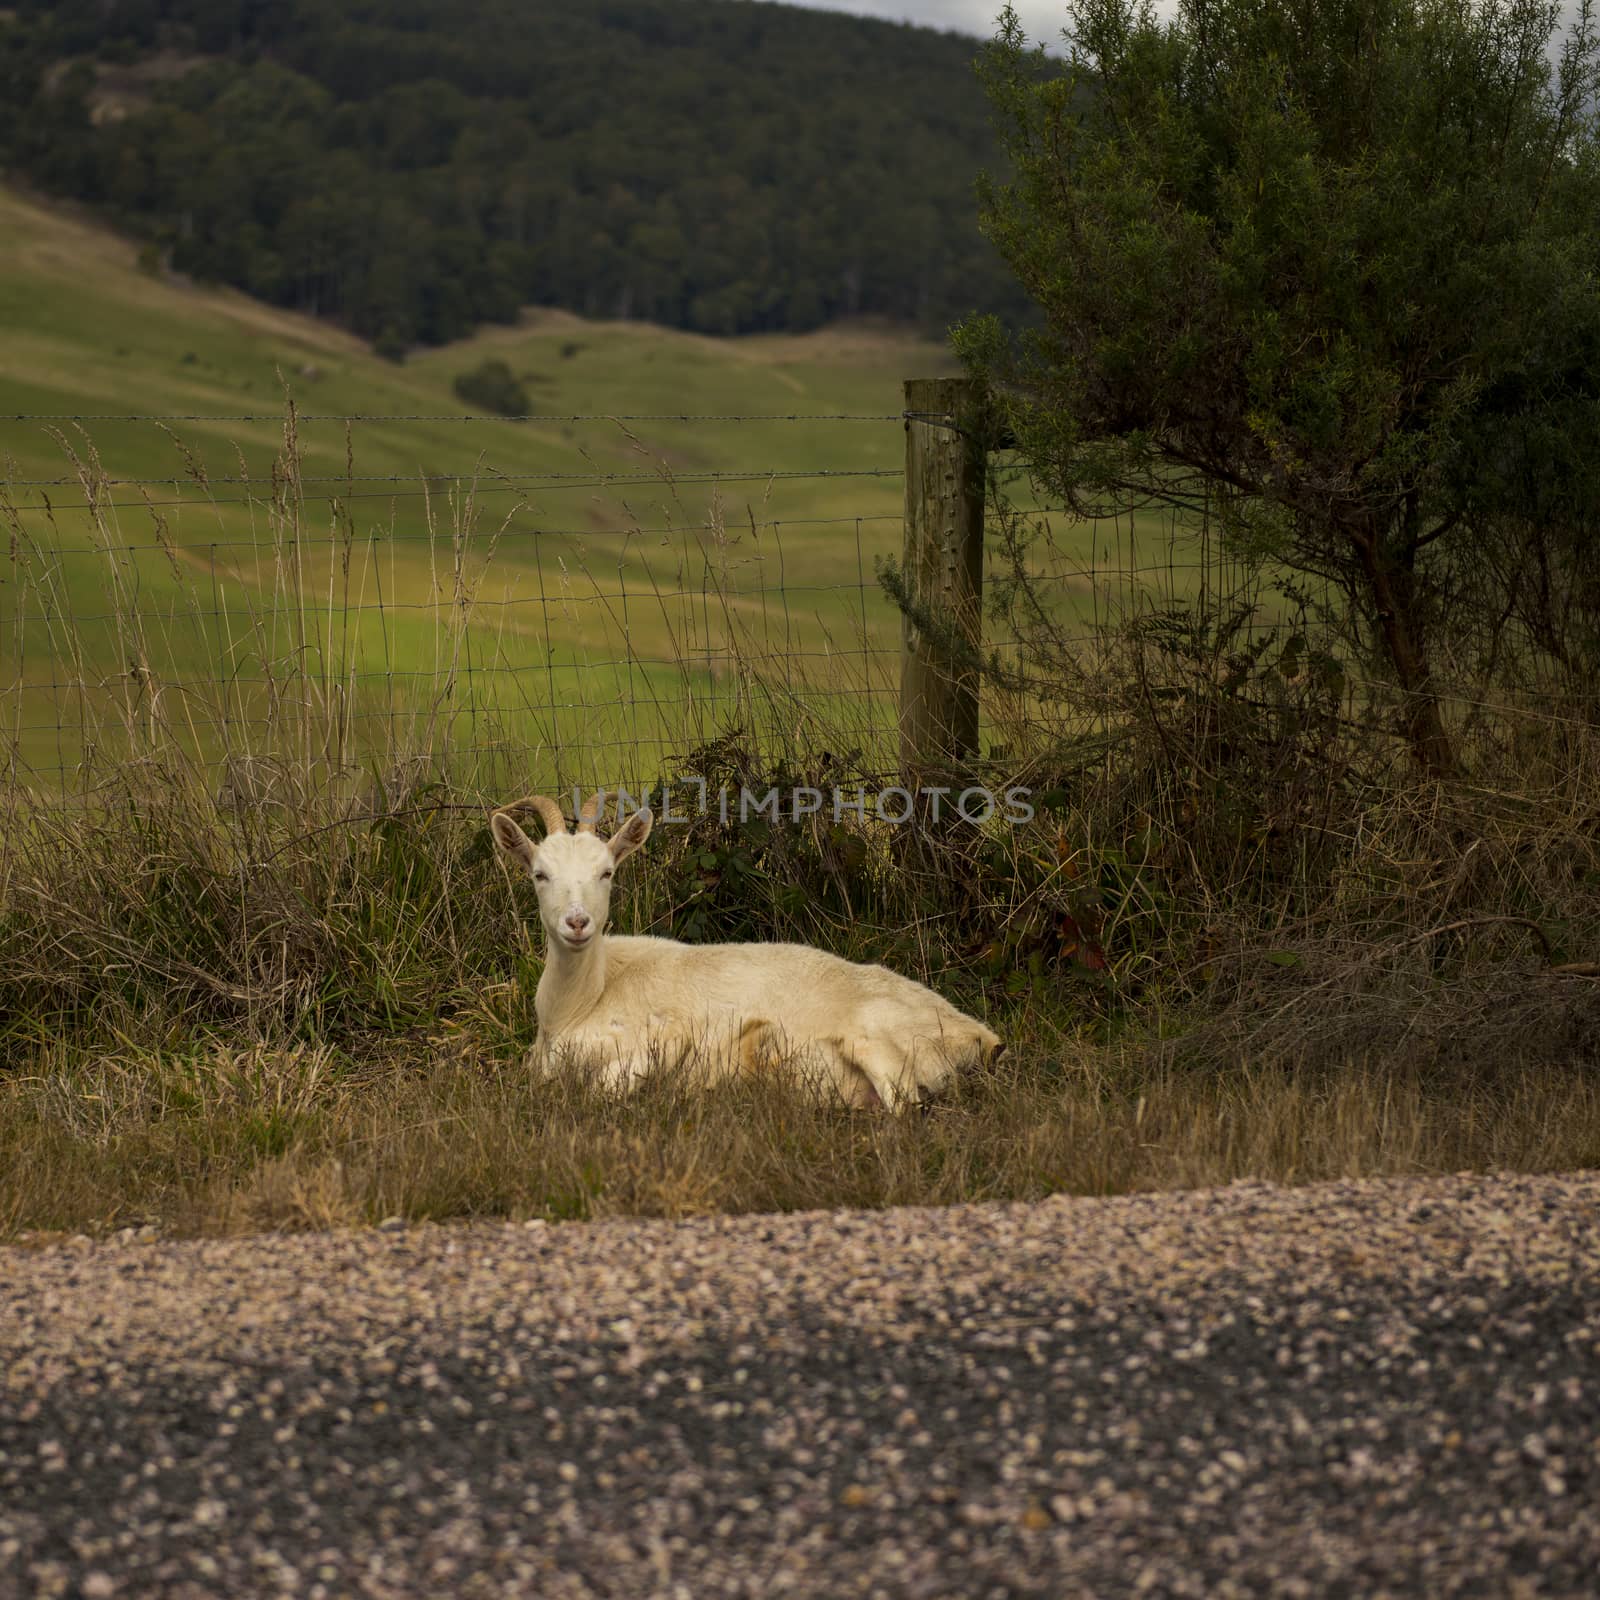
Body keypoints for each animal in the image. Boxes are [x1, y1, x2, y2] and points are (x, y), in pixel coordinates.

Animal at [492, 790, 1004, 1113]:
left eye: (607, 872)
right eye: (539, 874)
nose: (577, 923)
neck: (580, 1004)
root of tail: (982, 1036)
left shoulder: (665, 1036)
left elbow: (603, 1090)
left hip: (879, 1042)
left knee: (908, 1111)